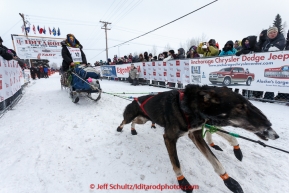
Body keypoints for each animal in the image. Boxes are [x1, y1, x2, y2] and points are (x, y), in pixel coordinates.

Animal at [116, 84, 278, 193]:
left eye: (249, 104)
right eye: (240, 107)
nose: (268, 124)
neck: (187, 108)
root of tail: (135, 99)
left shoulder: (196, 135)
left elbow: (215, 161)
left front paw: (229, 181)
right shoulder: (169, 138)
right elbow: (176, 163)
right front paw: (182, 181)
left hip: (143, 119)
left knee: (135, 122)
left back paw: (134, 129)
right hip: (132, 117)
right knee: (125, 120)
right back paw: (121, 128)